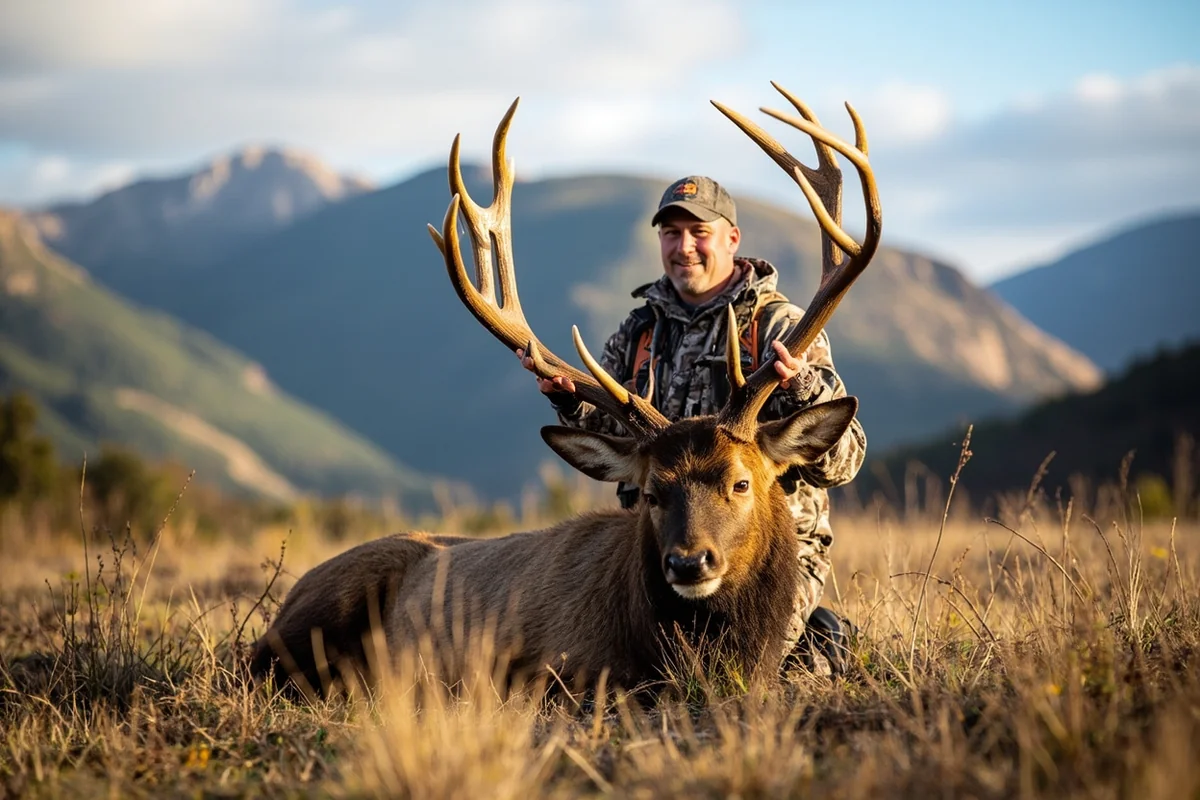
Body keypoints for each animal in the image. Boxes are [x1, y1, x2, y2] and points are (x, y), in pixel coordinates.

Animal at [249, 83, 881, 699]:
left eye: (741, 482)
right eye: (652, 492)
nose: (689, 562)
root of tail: (291, 595)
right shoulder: (547, 669)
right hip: (305, 627)